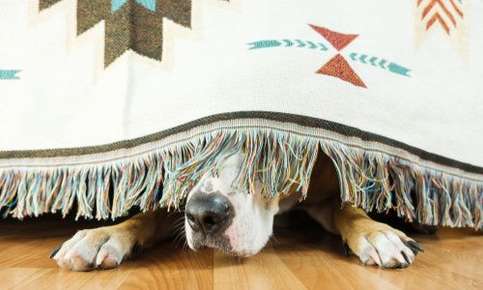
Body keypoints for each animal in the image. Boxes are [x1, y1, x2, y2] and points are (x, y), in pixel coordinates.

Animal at [50, 151, 424, 270]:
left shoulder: (324, 192)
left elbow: (350, 209)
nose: (203, 215)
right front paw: (103, 236)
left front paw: (377, 234)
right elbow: (148, 215)